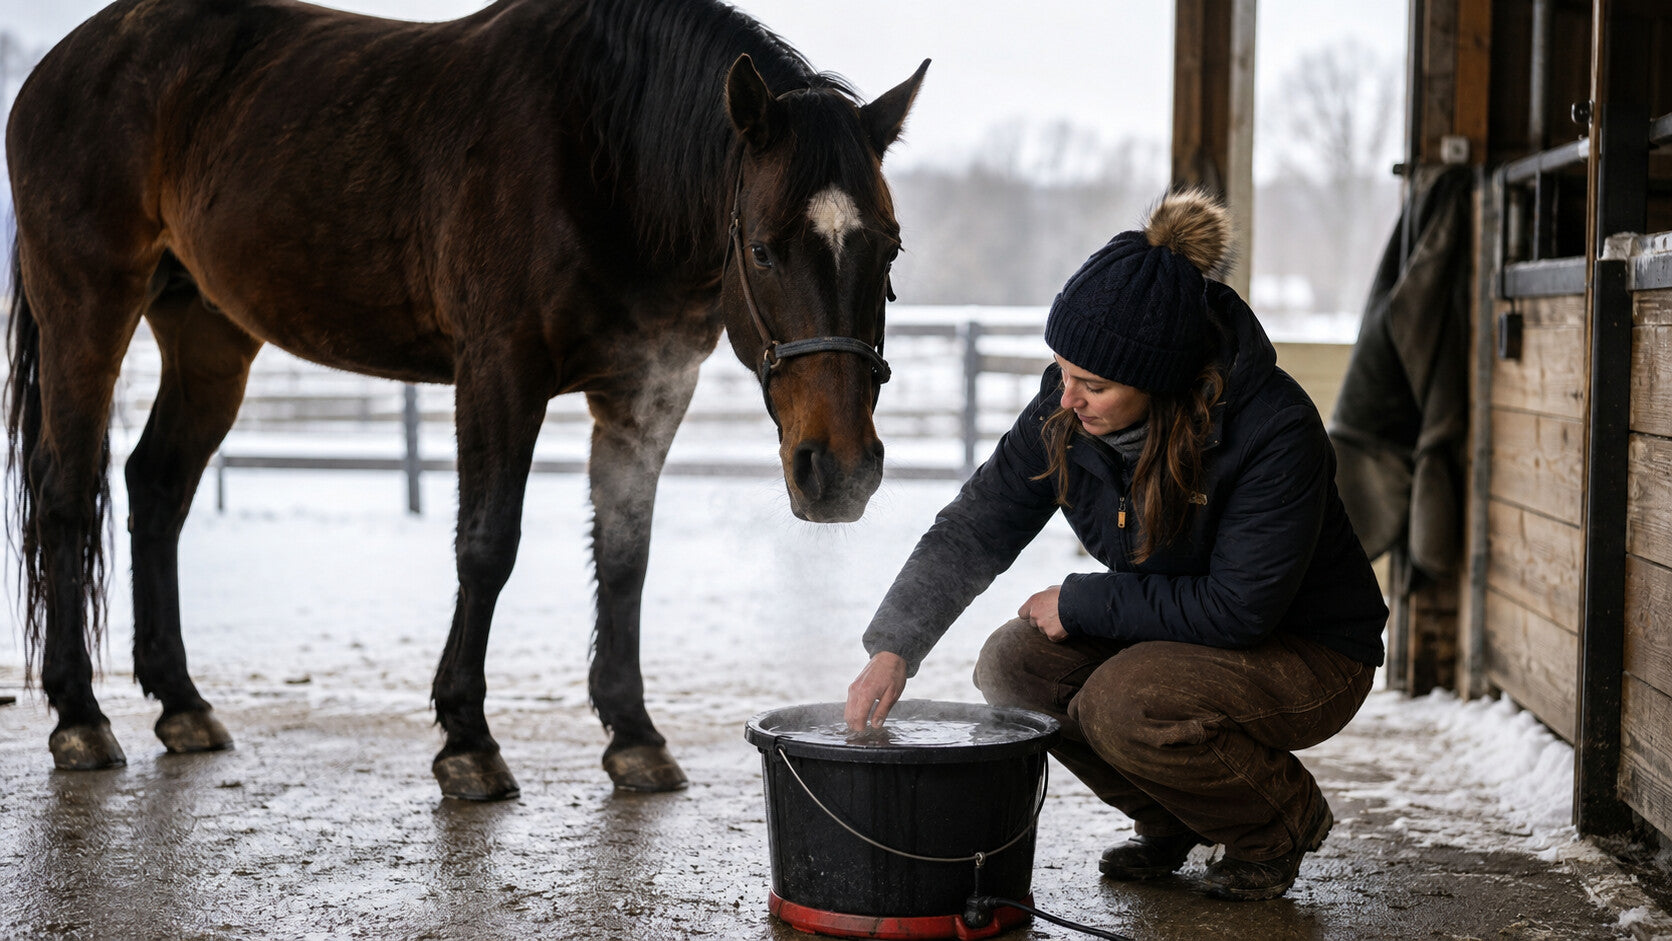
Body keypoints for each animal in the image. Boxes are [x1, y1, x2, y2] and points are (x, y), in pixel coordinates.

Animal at [4, 0, 927, 801]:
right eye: (765, 250)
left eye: (889, 248)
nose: (840, 471)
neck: (603, 151)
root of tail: (62, 66)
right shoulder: (498, 372)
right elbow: (486, 545)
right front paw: (467, 741)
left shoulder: (645, 389)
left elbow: (625, 555)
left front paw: (633, 735)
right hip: (88, 308)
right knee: (65, 495)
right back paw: (79, 717)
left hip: (208, 333)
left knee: (156, 487)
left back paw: (182, 704)